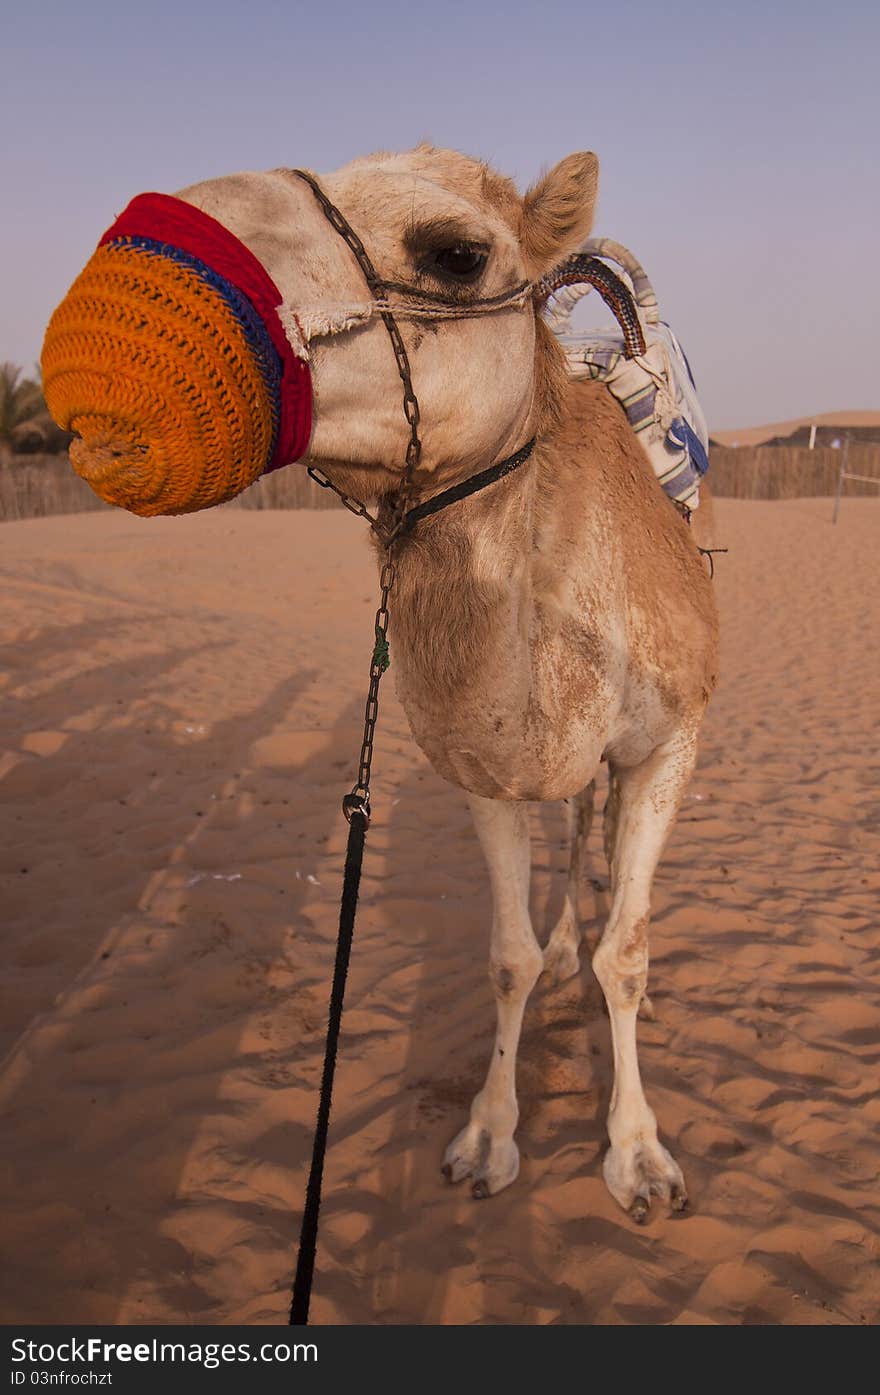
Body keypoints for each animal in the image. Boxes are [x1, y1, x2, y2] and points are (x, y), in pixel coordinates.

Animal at [60, 144, 714, 1222]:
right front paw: (488, 1138)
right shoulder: (486, 762)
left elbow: (627, 953)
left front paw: (640, 1158)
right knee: (578, 821)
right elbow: (505, 959)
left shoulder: (672, 738)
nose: (119, 285)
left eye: (457, 253)